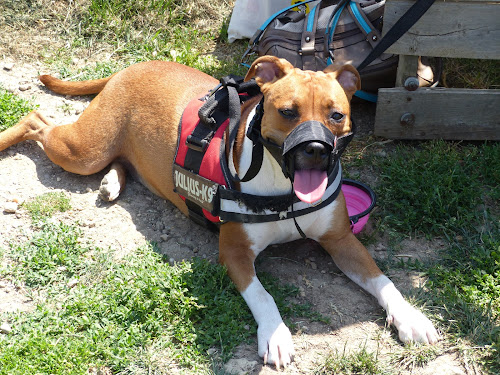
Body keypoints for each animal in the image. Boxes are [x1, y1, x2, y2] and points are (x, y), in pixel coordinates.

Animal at [0, 57, 438, 368]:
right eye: (288, 111)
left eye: (336, 114)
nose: (315, 149)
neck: (283, 191)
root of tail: (132, 66)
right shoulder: (235, 253)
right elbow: (262, 294)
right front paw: (276, 334)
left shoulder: (342, 239)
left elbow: (383, 281)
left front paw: (412, 317)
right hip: (84, 149)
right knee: (35, 119)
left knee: (120, 161)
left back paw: (113, 182)